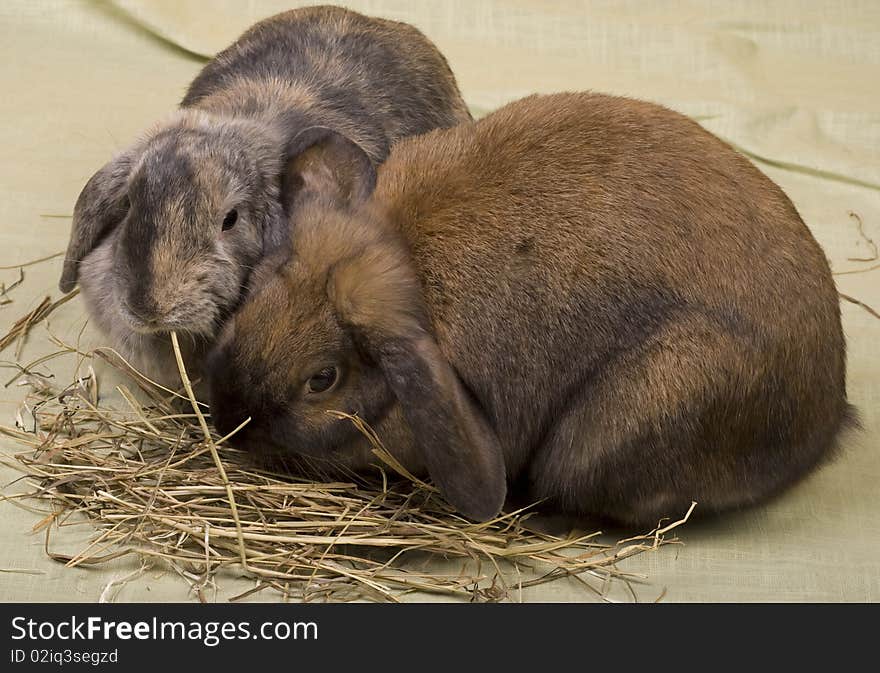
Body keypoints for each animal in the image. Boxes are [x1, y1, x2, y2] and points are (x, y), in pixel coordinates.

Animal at [205, 92, 852, 524]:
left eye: (322, 380)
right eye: (253, 297)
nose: (231, 416)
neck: (407, 255)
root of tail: (826, 409)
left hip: (637, 413)